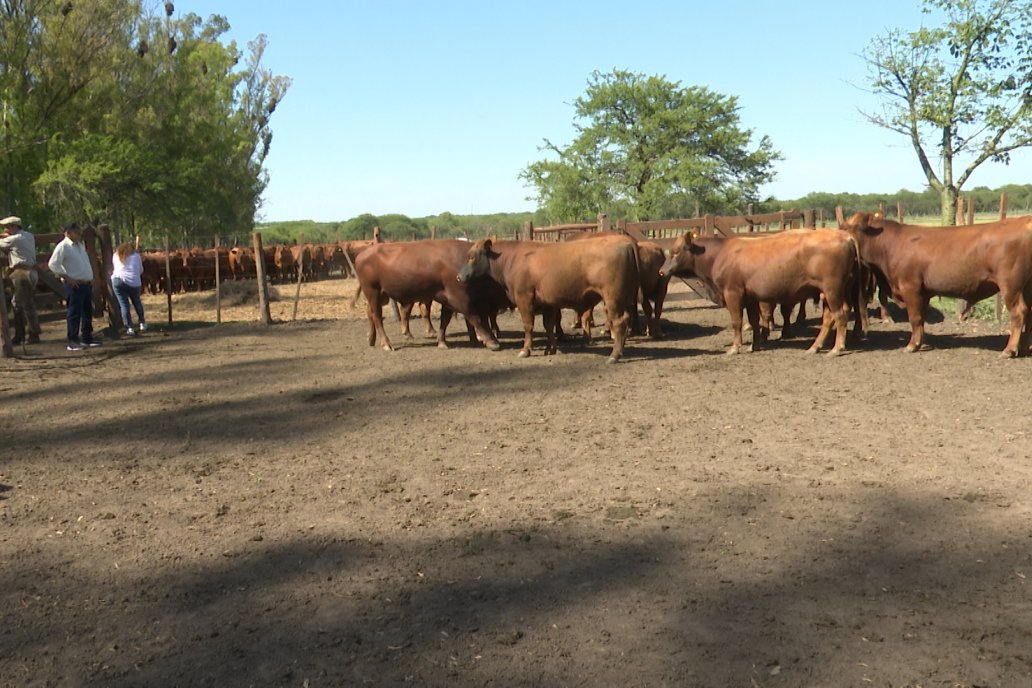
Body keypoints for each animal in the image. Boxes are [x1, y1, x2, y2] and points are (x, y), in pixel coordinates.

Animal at [355, 239, 499, 352]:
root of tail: (362, 253)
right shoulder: (459, 297)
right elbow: (475, 318)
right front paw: (491, 340)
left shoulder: (448, 299)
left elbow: (445, 320)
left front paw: (442, 342)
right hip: (373, 292)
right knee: (377, 317)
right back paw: (386, 343)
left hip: (381, 296)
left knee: (370, 313)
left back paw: (371, 338)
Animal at [458, 237, 635, 363]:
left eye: (472, 257)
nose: (459, 276)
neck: (513, 259)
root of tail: (626, 242)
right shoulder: (548, 304)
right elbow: (548, 326)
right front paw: (551, 349)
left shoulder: (524, 298)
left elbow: (528, 325)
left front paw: (525, 350)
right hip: (625, 299)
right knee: (627, 319)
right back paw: (621, 349)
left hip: (612, 299)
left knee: (618, 322)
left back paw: (614, 355)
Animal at [660, 230, 862, 358]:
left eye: (675, 252)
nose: (662, 272)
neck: (720, 255)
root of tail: (845, 236)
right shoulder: (750, 297)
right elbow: (754, 321)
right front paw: (755, 345)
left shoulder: (733, 293)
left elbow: (737, 322)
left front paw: (735, 348)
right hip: (831, 292)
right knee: (830, 317)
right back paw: (814, 347)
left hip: (832, 290)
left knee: (839, 315)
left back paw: (836, 349)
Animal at [837, 212, 1032, 358]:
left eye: (849, 229)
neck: (889, 246)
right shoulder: (923, 293)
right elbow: (921, 319)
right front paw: (920, 343)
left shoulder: (910, 288)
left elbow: (914, 318)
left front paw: (912, 345)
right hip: (1026, 287)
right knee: (1029, 313)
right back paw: (1025, 347)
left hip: (1010, 286)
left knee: (1019, 313)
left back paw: (1010, 350)